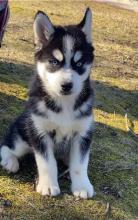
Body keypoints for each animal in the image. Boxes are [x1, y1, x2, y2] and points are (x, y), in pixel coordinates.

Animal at [0, 7, 95, 199]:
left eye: (79, 63)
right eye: (53, 62)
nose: (66, 85)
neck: (64, 103)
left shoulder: (83, 134)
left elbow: (80, 165)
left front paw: (82, 186)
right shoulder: (39, 133)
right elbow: (47, 163)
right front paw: (48, 185)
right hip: (23, 136)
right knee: (7, 145)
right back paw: (10, 161)